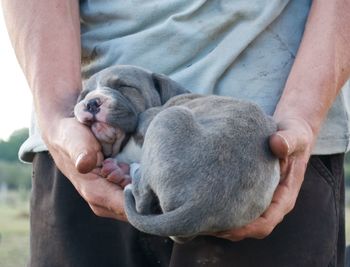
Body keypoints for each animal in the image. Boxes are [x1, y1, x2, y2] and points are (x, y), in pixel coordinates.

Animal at [75, 64, 280, 243]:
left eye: (124, 86)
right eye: (83, 95)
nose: (91, 102)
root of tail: (203, 203)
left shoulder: (149, 118)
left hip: (170, 116)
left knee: (142, 200)